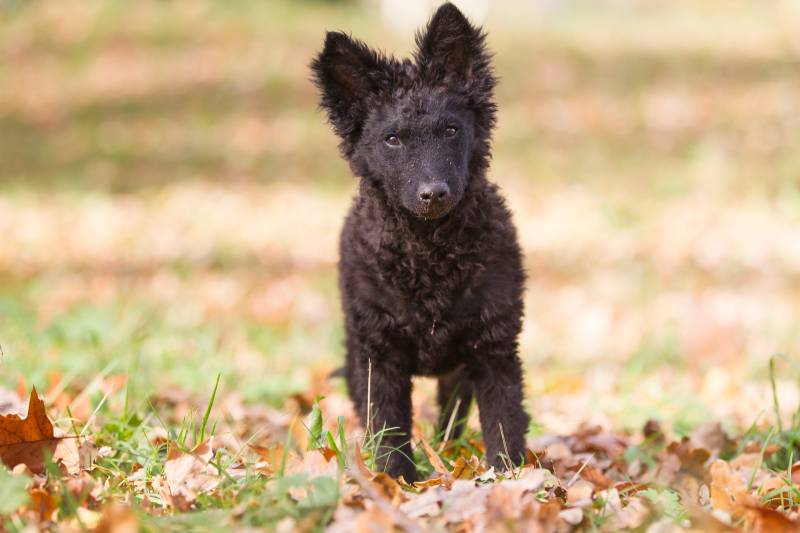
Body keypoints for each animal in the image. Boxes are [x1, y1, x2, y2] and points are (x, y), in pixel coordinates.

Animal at [312, 2, 532, 480]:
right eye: (392, 139)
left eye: (451, 130)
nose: (434, 193)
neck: (429, 251)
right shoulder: (378, 353)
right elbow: (388, 424)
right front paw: (397, 481)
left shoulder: (494, 346)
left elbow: (504, 420)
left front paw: (510, 478)